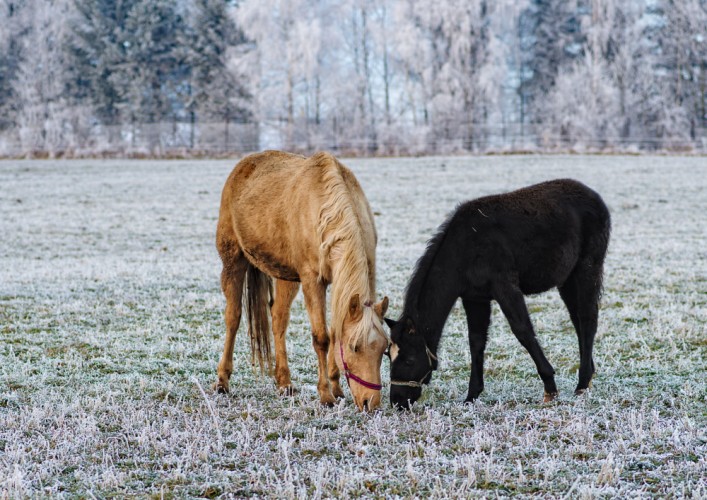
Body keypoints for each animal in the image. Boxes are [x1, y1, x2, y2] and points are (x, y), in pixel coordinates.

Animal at [216, 150, 392, 412]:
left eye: (384, 348)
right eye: (354, 347)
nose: (370, 403)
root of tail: (244, 164)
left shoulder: (337, 283)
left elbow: (334, 330)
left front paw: (336, 388)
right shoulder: (312, 281)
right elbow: (321, 337)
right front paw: (326, 395)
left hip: (286, 277)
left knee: (278, 319)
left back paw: (284, 382)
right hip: (233, 261)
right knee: (233, 318)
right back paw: (222, 380)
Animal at [384, 180, 612, 410]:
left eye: (409, 359)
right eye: (388, 355)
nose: (397, 400)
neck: (465, 248)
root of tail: (595, 198)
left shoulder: (505, 287)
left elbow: (523, 331)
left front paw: (550, 387)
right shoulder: (475, 298)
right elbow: (476, 340)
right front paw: (472, 395)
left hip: (587, 269)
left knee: (588, 319)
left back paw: (582, 382)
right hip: (567, 279)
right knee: (578, 321)